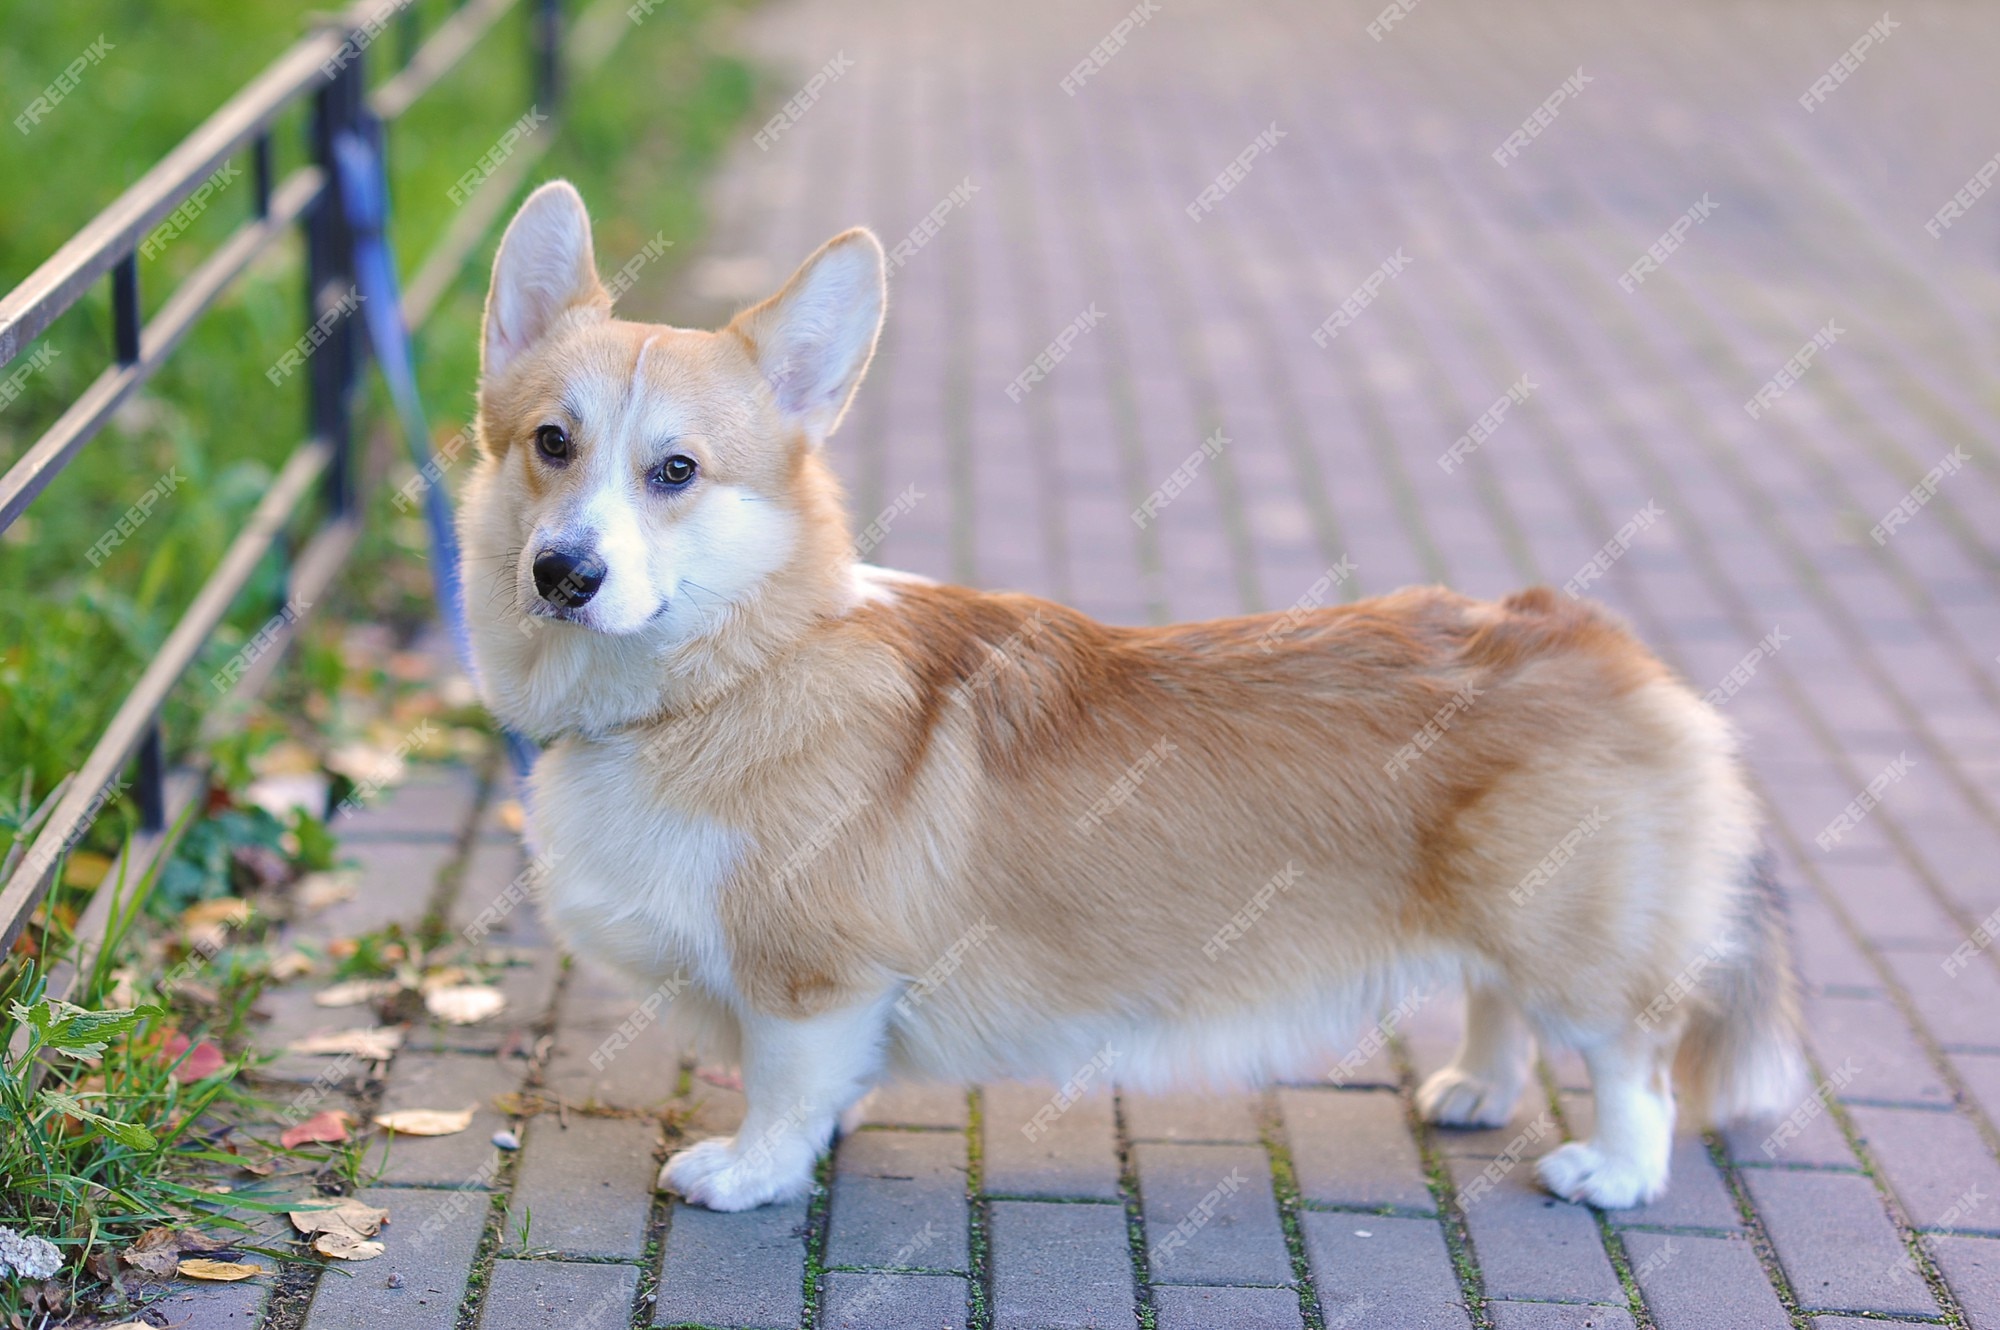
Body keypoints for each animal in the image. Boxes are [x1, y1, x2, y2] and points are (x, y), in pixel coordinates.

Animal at [460, 184, 1808, 1216]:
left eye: (675, 471)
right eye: (550, 443)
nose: (562, 573)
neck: (734, 669)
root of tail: (1596, 637)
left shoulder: (812, 979)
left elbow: (787, 1089)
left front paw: (749, 1173)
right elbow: (821, 1087)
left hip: (1567, 927)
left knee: (1630, 1053)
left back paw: (1612, 1172)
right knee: (1496, 997)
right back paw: (1475, 1089)